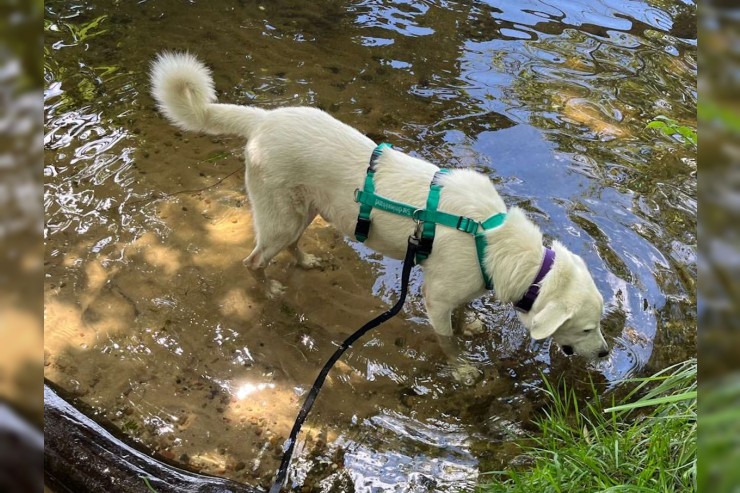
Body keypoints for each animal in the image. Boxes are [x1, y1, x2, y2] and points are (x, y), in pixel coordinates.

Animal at [150, 52, 608, 376]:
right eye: (588, 328)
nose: (606, 353)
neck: (489, 239)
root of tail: (263, 120)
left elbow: (463, 316)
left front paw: (473, 324)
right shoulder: (435, 300)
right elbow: (447, 342)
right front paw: (462, 370)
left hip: (303, 211)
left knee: (292, 244)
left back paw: (306, 261)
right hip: (279, 218)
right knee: (254, 260)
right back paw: (272, 290)